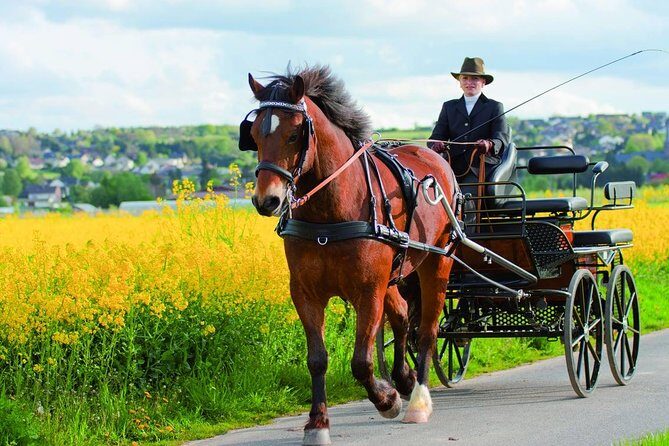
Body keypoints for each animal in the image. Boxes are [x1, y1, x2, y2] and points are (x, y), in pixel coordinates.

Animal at [242, 65, 458, 445]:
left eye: (295, 133)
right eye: (253, 133)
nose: (267, 200)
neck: (329, 215)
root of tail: (435, 158)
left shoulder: (367, 291)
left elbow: (361, 361)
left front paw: (386, 400)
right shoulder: (305, 293)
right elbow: (317, 359)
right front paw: (317, 424)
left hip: (437, 262)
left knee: (428, 332)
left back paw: (417, 399)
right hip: (395, 274)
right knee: (403, 316)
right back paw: (403, 378)